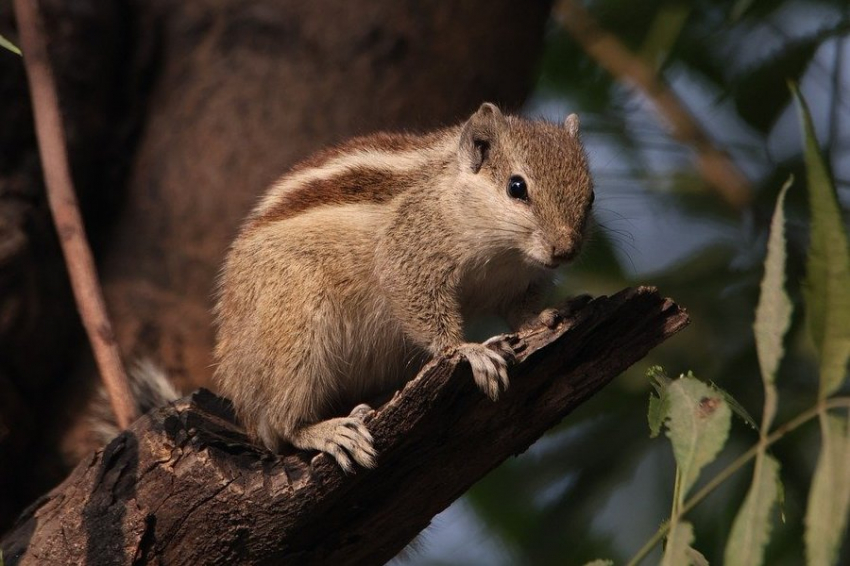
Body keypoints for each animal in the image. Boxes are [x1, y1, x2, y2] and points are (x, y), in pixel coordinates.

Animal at [215, 103, 592, 474]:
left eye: (589, 195)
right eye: (516, 187)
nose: (566, 251)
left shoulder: (520, 281)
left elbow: (520, 309)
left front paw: (544, 316)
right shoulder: (410, 254)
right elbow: (419, 302)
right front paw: (468, 350)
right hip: (294, 326)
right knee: (282, 424)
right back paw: (326, 431)